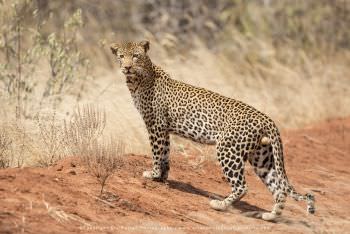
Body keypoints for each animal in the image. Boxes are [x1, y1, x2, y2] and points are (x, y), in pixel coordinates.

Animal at [110, 40, 316, 221]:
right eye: (121, 56)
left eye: (135, 56)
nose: (127, 67)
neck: (137, 80)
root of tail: (267, 119)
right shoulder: (164, 129)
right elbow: (165, 154)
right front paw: (162, 177)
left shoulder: (155, 125)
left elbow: (156, 152)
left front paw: (152, 174)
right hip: (262, 157)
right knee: (279, 188)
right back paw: (271, 216)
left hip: (228, 149)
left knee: (242, 186)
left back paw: (220, 205)